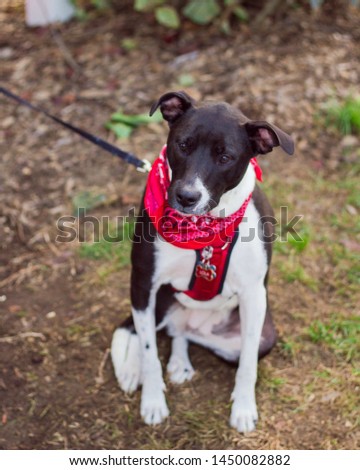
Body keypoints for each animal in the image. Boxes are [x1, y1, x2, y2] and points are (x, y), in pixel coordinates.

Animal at [111, 92, 294, 434]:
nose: (186, 196)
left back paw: (180, 361)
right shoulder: (143, 281)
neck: (204, 228)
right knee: (140, 329)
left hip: (265, 334)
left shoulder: (253, 294)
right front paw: (152, 401)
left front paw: (243, 407)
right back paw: (137, 367)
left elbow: (248, 360)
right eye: (183, 144)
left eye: (226, 157)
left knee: (183, 333)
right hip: (157, 302)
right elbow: (148, 352)